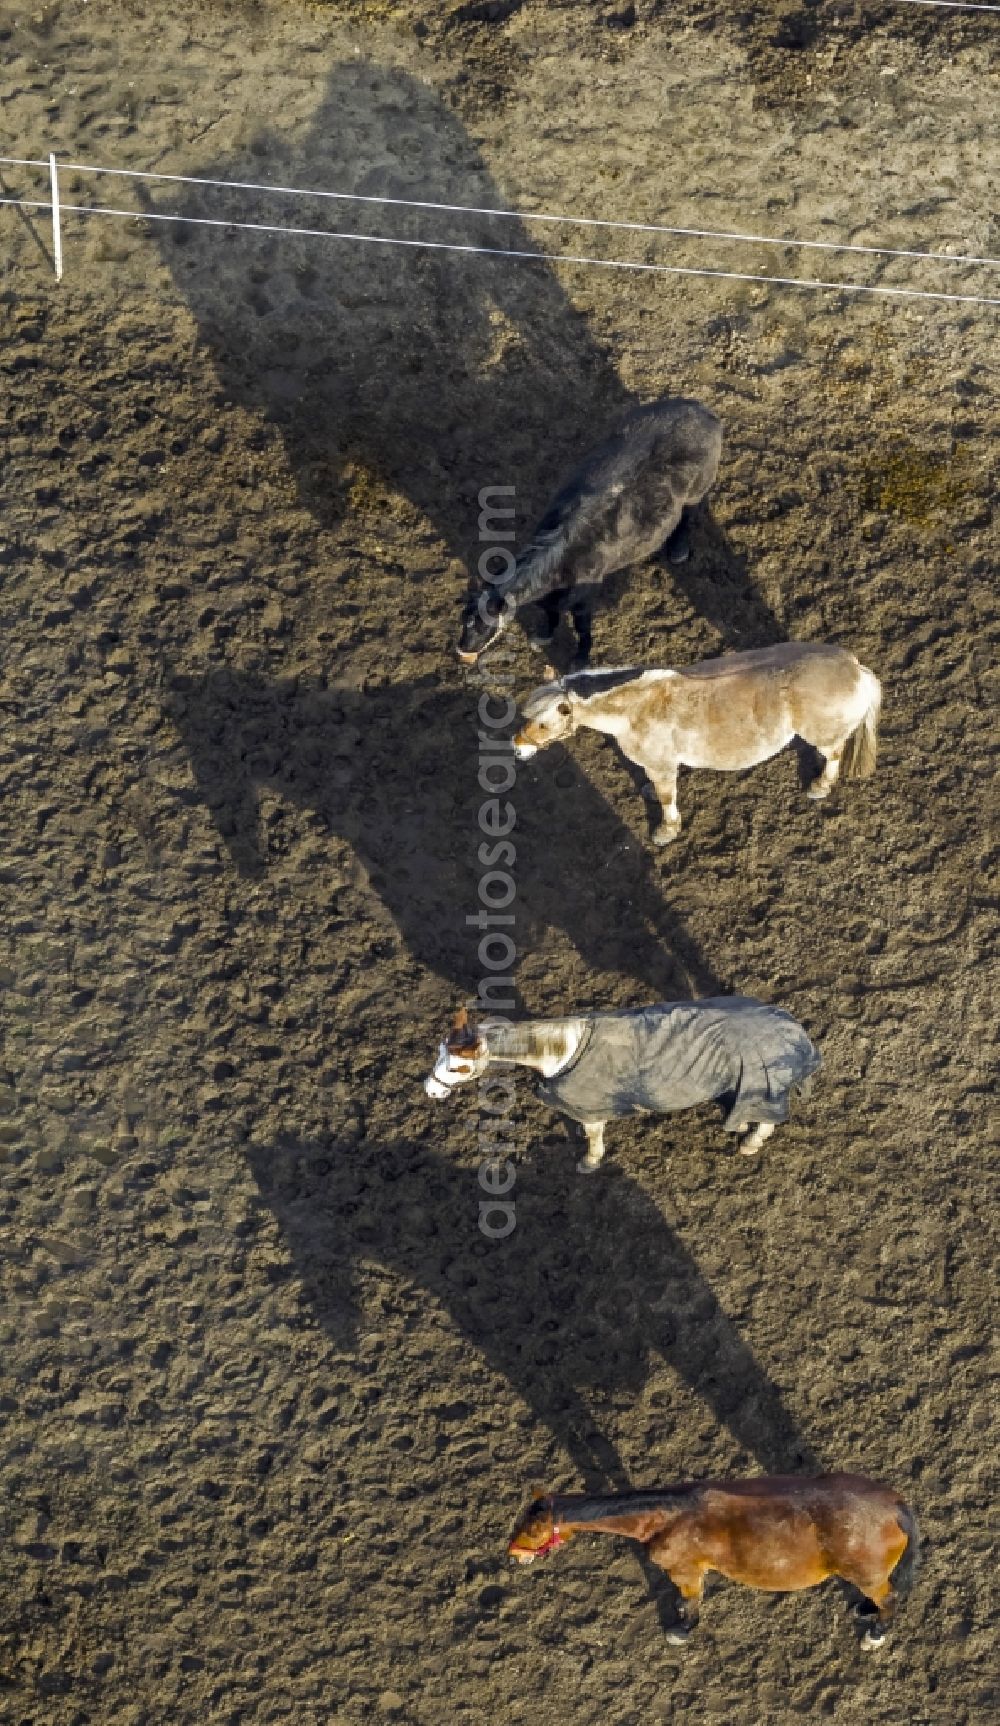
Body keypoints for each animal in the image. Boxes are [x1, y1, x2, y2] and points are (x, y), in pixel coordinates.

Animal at [423, 1001, 822, 1173]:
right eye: (439, 1050)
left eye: (459, 1066)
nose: (430, 1091)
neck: (562, 1051)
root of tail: (795, 1031)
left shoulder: (591, 1109)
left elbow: (593, 1137)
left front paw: (590, 1161)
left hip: (764, 1088)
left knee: (767, 1119)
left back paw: (751, 1143)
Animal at [459, 396, 725, 666]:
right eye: (463, 620)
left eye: (484, 626)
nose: (463, 650)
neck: (562, 558)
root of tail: (701, 410)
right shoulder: (551, 600)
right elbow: (551, 615)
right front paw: (543, 636)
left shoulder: (583, 602)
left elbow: (582, 629)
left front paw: (581, 659)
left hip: (697, 491)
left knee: (689, 514)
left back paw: (679, 550)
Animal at [511, 642, 880, 842]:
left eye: (543, 723)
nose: (517, 747)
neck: (636, 707)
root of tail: (856, 669)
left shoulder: (662, 765)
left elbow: (666, 797)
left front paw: (666, 830)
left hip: (824, 737)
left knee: (834, 754)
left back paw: (820, 786)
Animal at [511, 1470, 918, 1643]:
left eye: (532, 1529)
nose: (513, 1554)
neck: (668, 1515)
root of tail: (894, 1507)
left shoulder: (685, 1571)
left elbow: (692, 1602)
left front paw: (682, 1630)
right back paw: (865, 1609)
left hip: (866, 1575)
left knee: (891, 1600)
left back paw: (876, 1633)